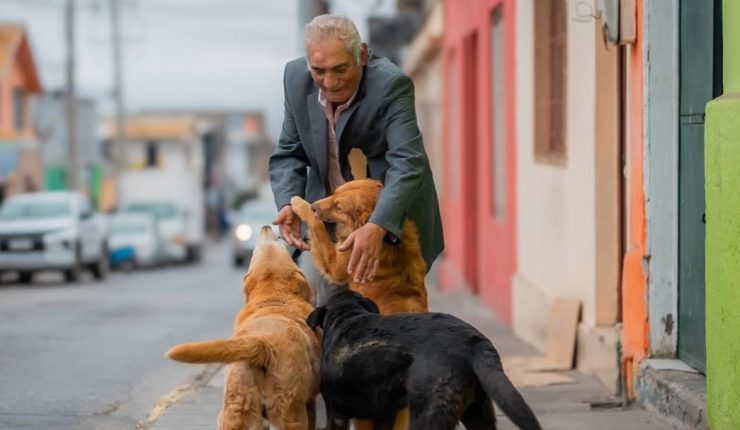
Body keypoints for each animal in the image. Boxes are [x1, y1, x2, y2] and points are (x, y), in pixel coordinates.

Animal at [166, 227, 320, 428]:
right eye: (280, 238)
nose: (265, 227)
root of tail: (263, 344)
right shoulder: (310, 403)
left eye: (257, 248)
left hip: (236, 409)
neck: (273, 297)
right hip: (292, 414)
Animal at [306, 288, 544, 430]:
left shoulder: (336, 414)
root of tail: (474, 341)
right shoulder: (385, 415)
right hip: (477, 412)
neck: (346, 315)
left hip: (427, 413)